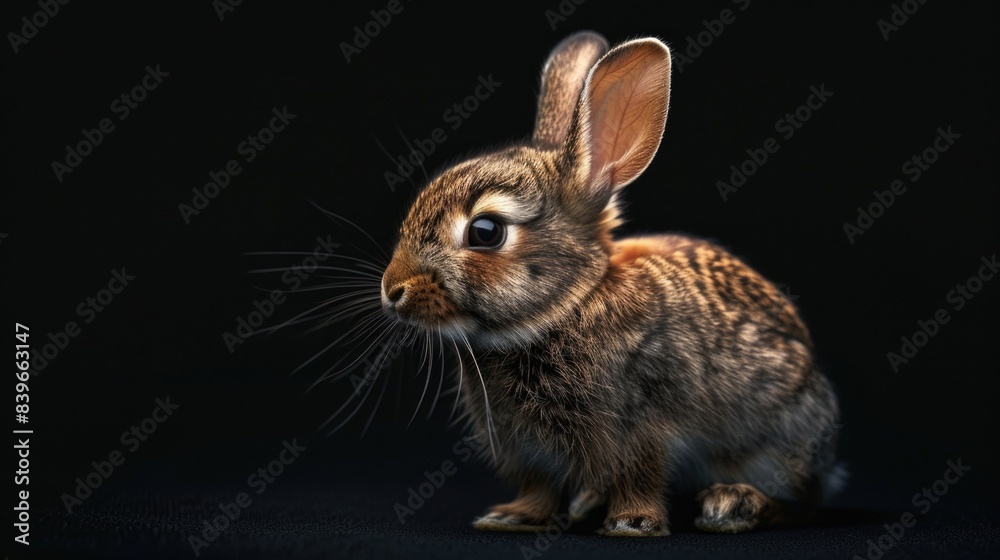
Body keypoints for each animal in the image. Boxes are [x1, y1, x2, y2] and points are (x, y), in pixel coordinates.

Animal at [379, 30, 842, 536]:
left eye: (486, 232)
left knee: (801, 502)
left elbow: (641, 475)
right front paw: (511, 517)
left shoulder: (645, 426)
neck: (568, 307)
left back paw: (732, 504)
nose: (392, 290)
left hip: (780, 440)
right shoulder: (527, 452)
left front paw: (631, 523)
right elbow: (539, 488)